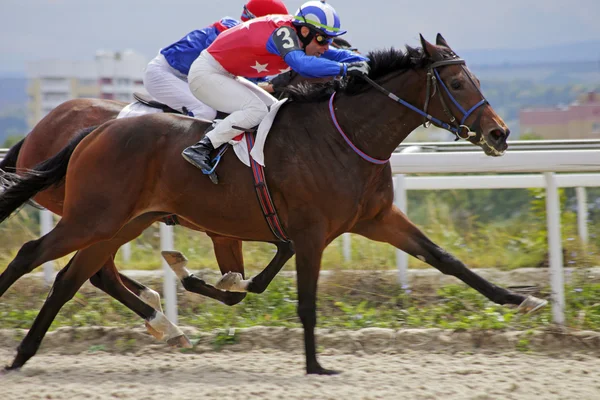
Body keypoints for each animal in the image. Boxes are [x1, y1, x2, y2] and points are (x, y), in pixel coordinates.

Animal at [0, 35, 548, 376]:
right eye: (456, 83)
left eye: (475, 80)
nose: (499, 134)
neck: (347, 136)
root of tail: (96, 130)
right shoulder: (310, 233)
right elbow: (303, 300)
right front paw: (315, 364)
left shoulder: (377, 219)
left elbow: (446, 259)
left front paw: (521, 299)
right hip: (92, 216)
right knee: (33, 256)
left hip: (119, 223)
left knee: (75, 278)